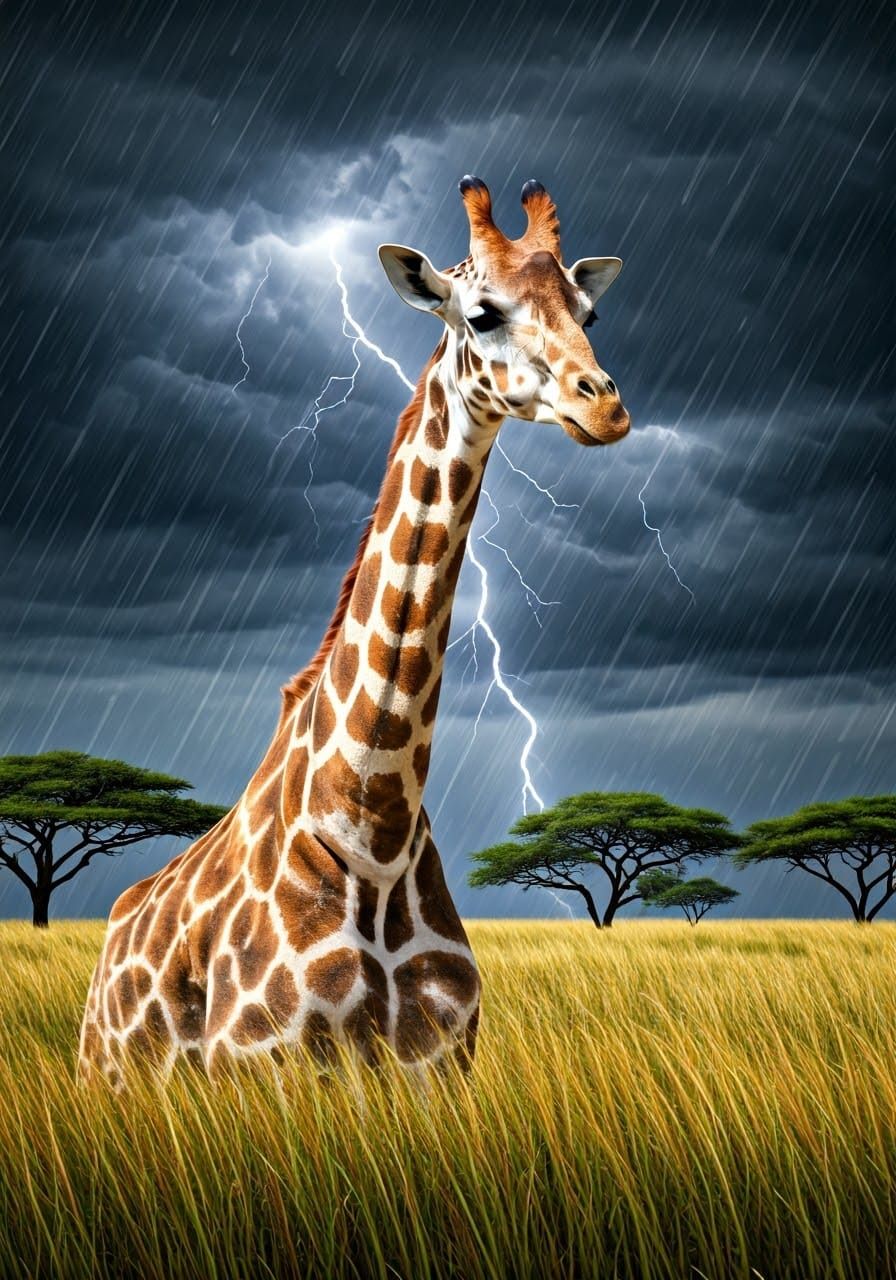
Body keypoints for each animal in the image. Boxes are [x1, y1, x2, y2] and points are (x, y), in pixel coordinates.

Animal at [78, 176, 630, 1085]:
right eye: (481, 312)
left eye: (589, 311)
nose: (607, 407)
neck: (373, 830)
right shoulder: (263, 1066)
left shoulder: (438, 1070)